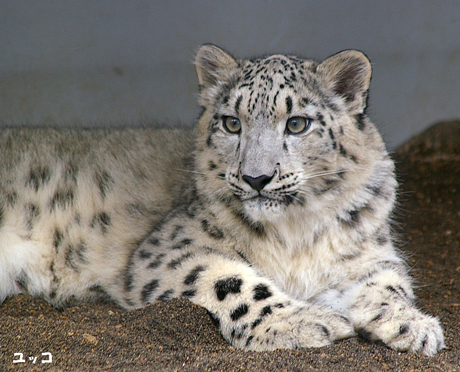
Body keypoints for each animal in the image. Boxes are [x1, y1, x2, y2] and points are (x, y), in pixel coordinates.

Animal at [0, 45, 446, 356]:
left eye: (297, 123)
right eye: (232, 123)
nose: (256, 178)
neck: (296, 232)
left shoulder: (366, 253)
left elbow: (389, 282)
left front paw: (414, 326)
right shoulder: (168, 251)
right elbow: (232, 281)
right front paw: (305, 321)